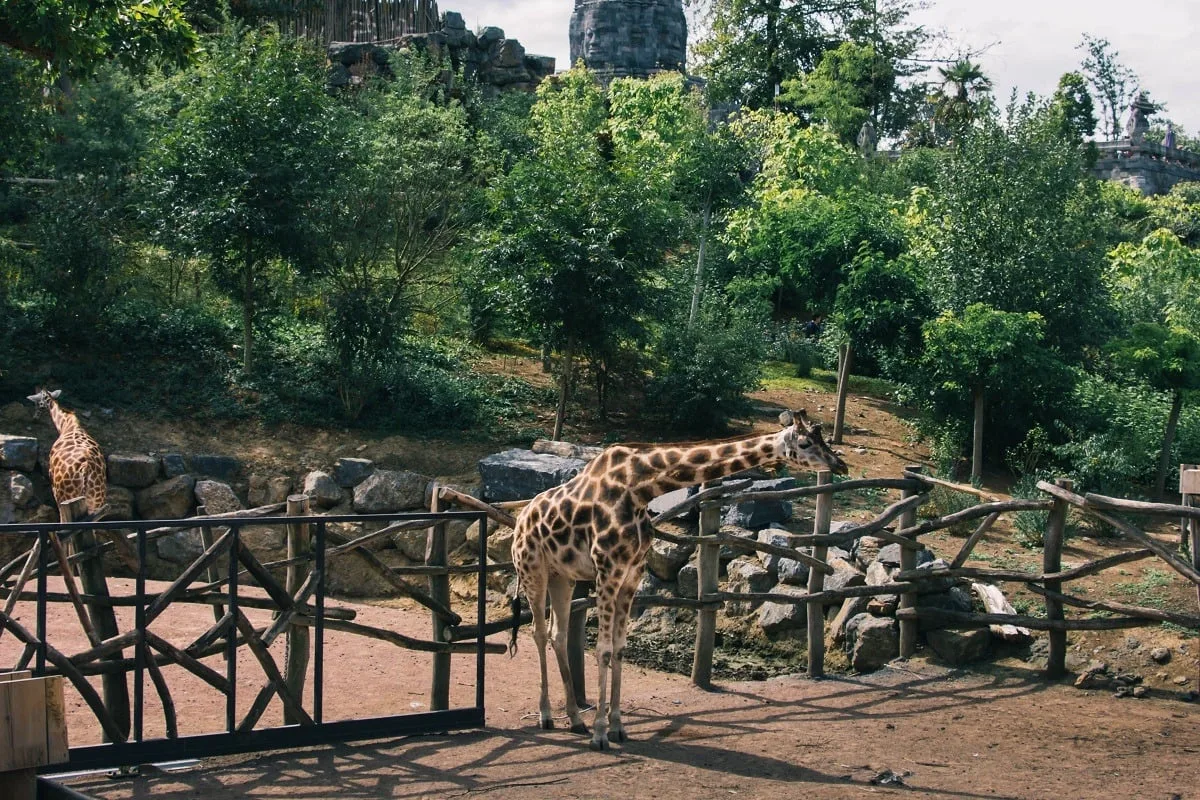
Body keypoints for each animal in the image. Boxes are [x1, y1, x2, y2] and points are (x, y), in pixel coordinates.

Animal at [511, 409, 848, 750]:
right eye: (805, 443)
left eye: (822, 439)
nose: (840, 465)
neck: (641, 489)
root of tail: (522, 516)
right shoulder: (607, 571)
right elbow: (603, 649)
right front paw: (600, 734)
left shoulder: (632, 575)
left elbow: (619, 647)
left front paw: (618, 727)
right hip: (532, 569)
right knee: (539, 632)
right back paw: (546, 716)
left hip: (562, 576)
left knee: (557, 634)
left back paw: (575, 720)